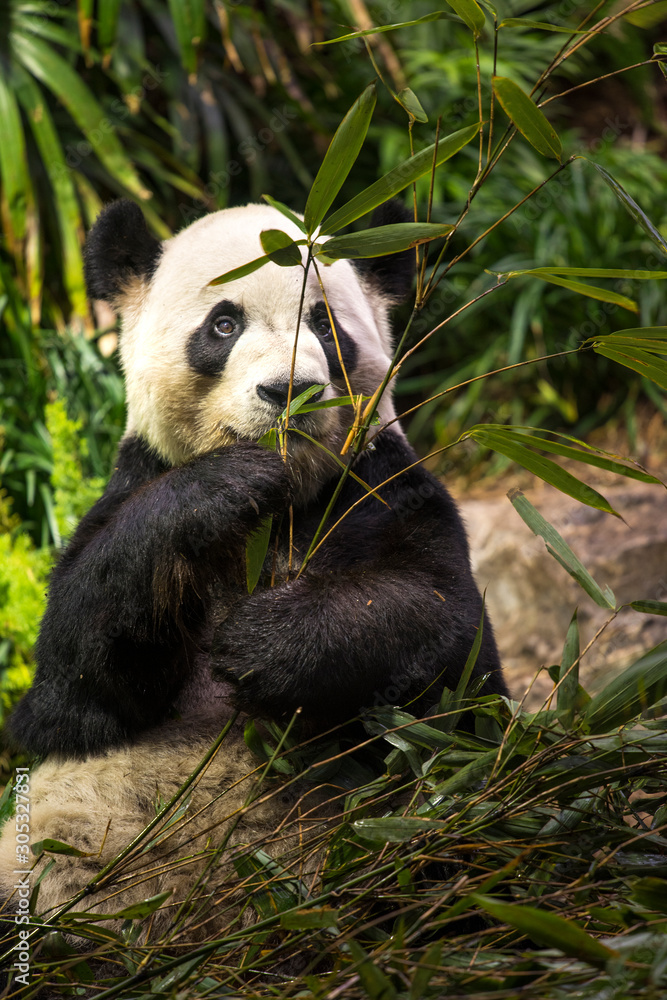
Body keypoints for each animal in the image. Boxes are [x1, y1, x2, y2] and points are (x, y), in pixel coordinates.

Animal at [0, 199, 506, 940]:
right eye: (223, 324)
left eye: (324, 325)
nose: (289, 391)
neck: (286, 504)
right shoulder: (133, 483)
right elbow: (74, 676)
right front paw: (225, 485)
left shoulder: (384, 487)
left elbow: (444, 630)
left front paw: (259, 644)